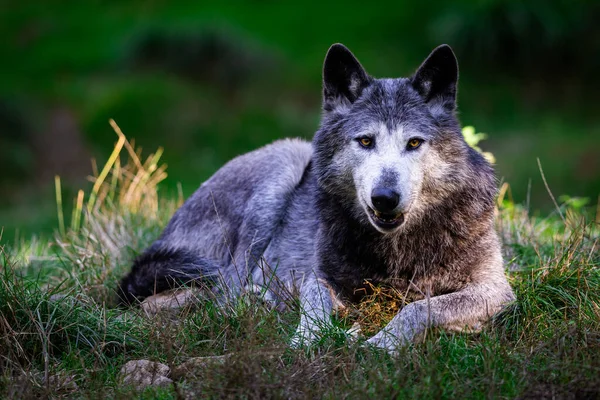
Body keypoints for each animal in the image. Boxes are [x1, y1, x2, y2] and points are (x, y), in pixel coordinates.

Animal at [118, 43, 516, 350]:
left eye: (414, 143)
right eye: (365, 141)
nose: (384, 197)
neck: (397, 249)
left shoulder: (496, 290)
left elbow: (421, 308)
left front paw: (381, 344)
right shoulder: (318, 277)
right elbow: (314, 309)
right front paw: (308, 341)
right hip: (285, 164)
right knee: (221, 295)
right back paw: (262, 302)